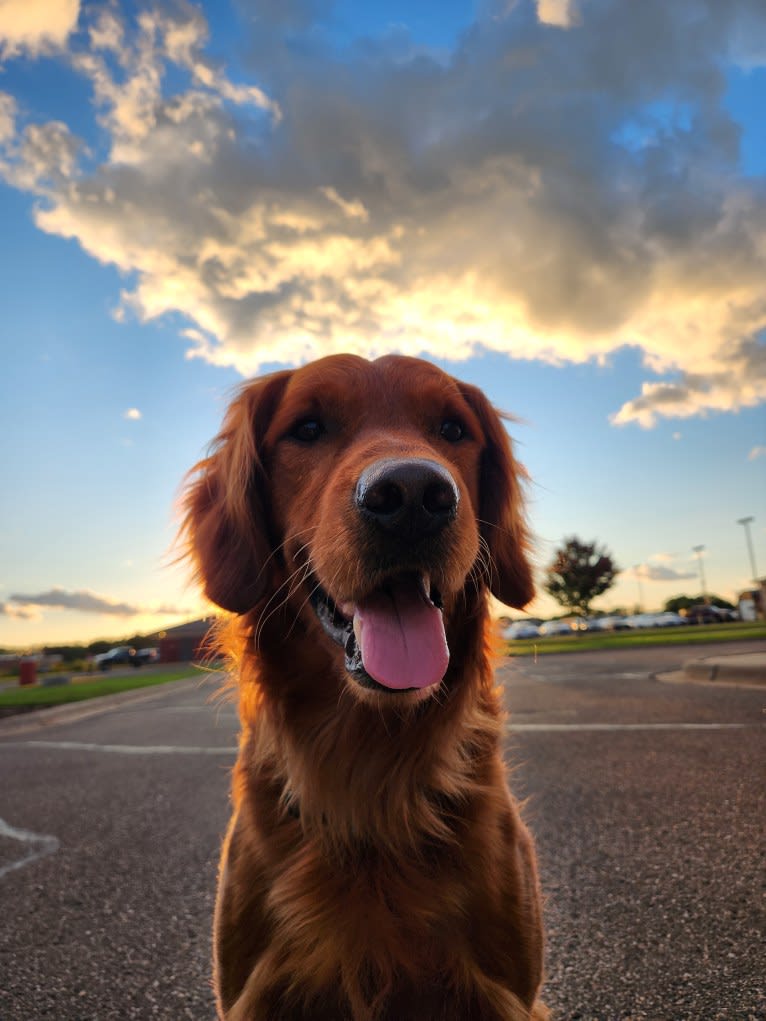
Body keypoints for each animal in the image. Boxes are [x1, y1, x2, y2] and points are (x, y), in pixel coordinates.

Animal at [182, 353, 547, 1021]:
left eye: (453, 429)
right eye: (307, 428)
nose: (413, 496)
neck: (371, 773)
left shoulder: (508, 993)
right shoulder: (254, 993)